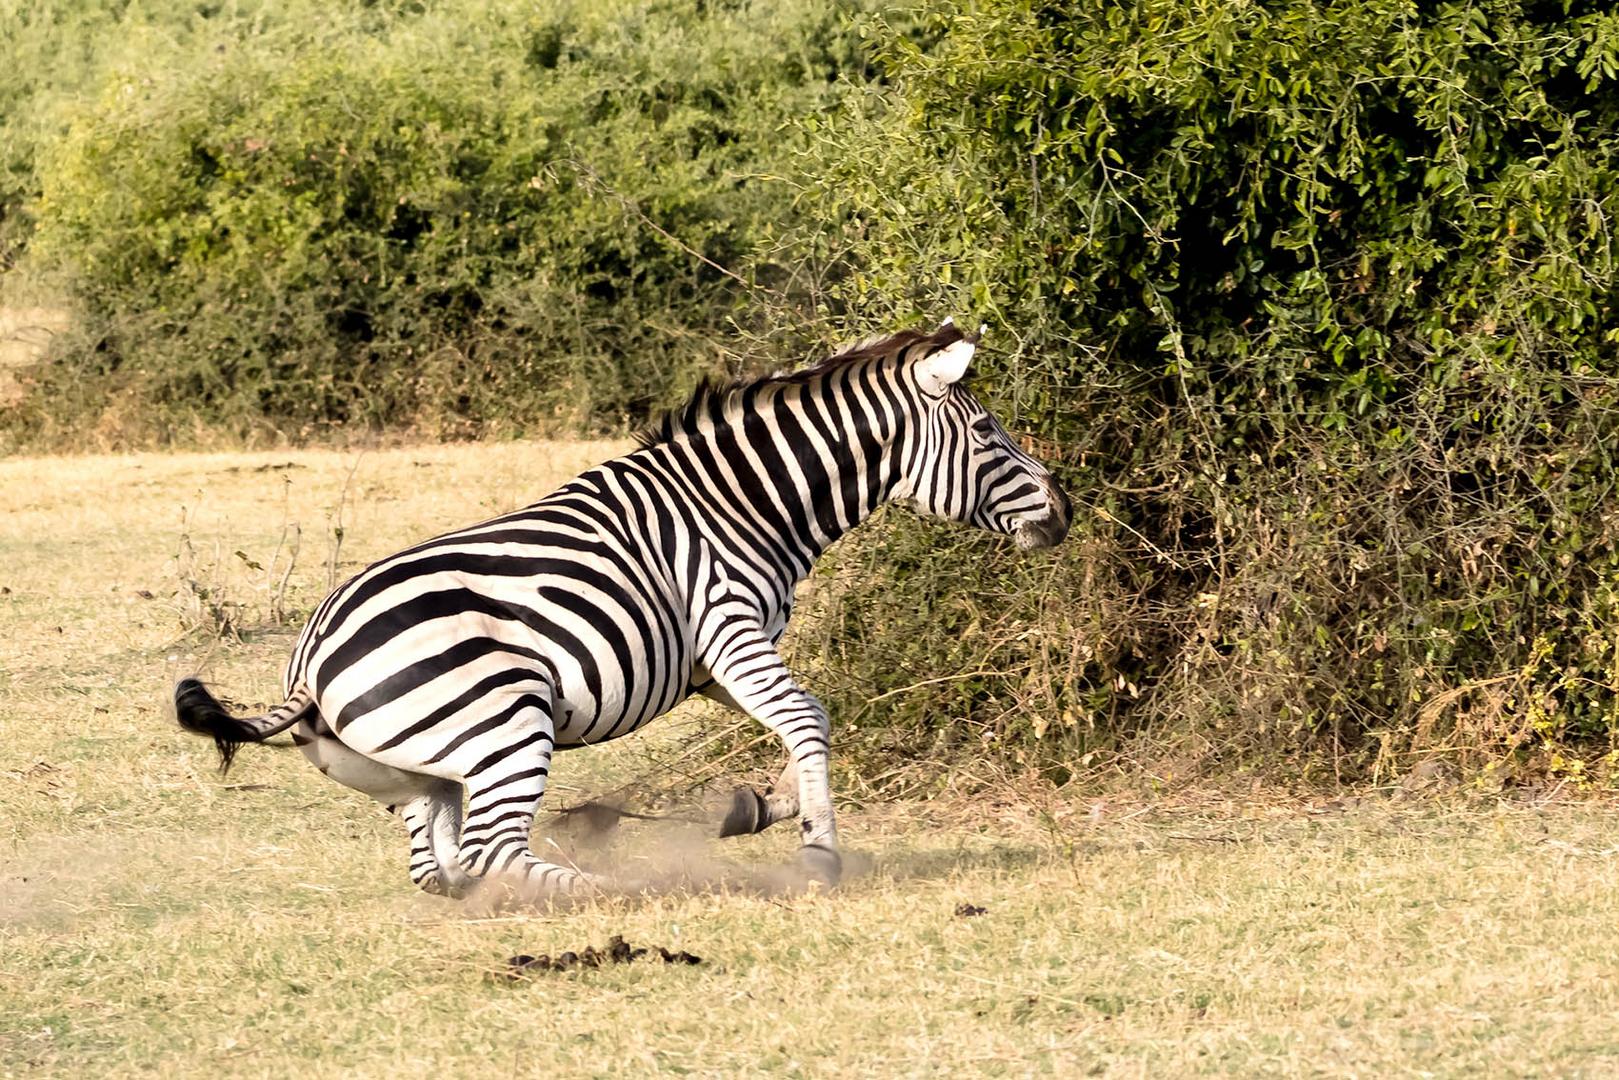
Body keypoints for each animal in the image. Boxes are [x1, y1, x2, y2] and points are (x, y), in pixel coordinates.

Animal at [177, 320, 1068, 906]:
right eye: (986, 431)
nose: (1064, 510)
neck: (741, 501)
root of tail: (307, 665)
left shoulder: (706, 661)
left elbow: (806, 716)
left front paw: (758, 806)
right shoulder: (727, 626)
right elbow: (806, 716)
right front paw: (817, 849)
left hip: (420, 780)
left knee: (445, 869)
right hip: (507, 722)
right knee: (493, 854)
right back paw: (619, 886)